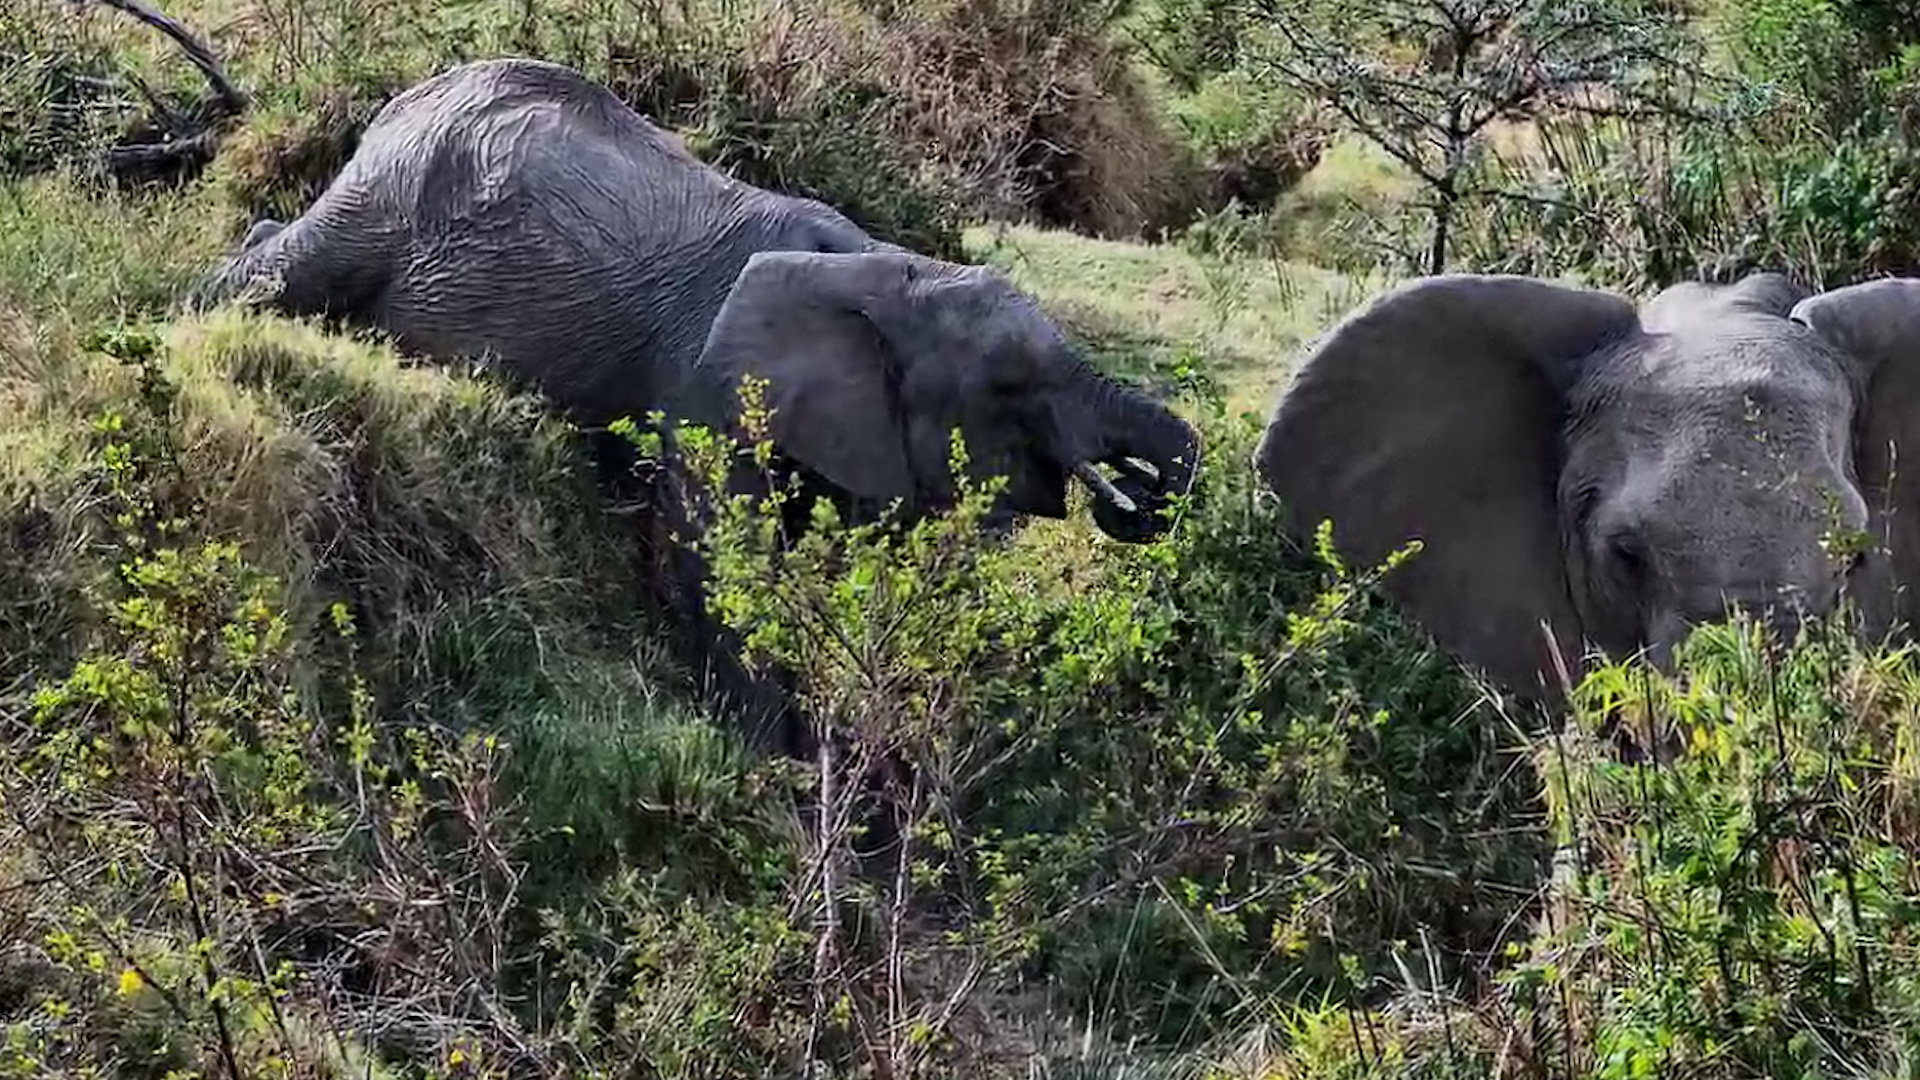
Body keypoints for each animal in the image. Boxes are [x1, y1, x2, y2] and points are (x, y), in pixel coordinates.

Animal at [188, 56, 1201, 750]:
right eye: (1010, 385)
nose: (1136, 489)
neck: (885, 268)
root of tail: (411, 95)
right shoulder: (712, 397)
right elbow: (716, 564)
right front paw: (782, 754)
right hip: (388, 198)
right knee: (278, 277)